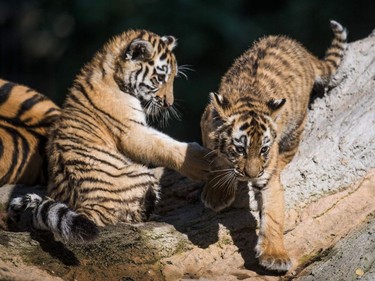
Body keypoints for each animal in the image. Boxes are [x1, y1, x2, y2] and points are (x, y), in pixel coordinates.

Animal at [8, 29, 210, 242]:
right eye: (159, 79)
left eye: (172, 78)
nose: (168, 103)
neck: (113, 74)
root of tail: (88, 206)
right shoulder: (132, 133)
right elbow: (164, 146)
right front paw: (198, 161)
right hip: (139, 175)